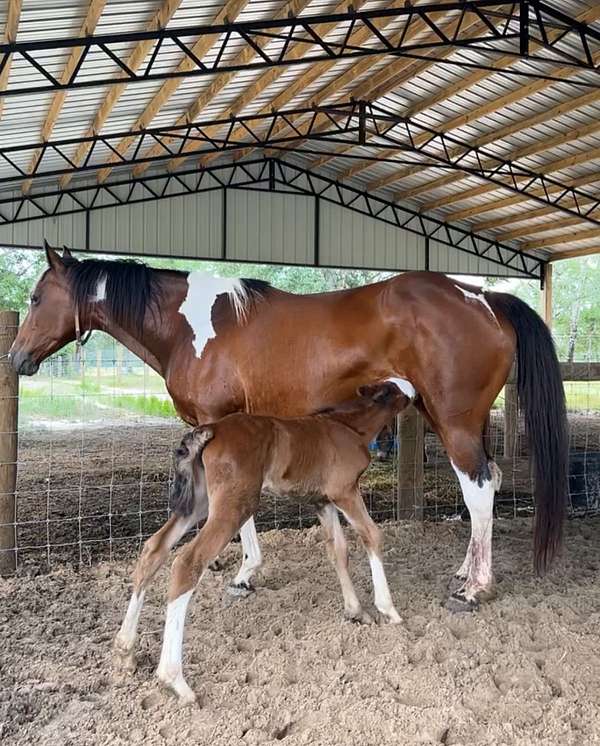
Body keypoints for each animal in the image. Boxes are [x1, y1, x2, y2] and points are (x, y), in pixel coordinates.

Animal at [8, 244, 568, 620]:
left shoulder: (221, 423)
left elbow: (241, 510)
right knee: (488, 484)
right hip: (450, 418)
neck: (190, 327)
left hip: (454, 422)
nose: (15, 359)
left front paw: (244, 574)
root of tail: (483, 296)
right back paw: (465, 571)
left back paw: (475, 589)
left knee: (479, 490)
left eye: (36, 297)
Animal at [118, 380, 412, 700]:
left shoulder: (322, 502)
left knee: (154, 548)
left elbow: (338, 550)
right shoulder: (344, 491)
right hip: (233, 504)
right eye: (397, 390)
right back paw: (174, 679)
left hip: (199, 502)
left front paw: (355, 611)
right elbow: (372, 535)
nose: (414, 392)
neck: (349, 426)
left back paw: (126, 648)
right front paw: (388, 610)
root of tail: (211, 430)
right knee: (187, 562)